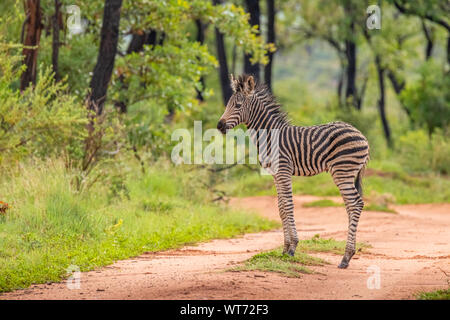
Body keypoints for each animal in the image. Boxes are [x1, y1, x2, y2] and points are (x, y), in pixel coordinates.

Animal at [218, 74, 370, 268]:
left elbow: (289, 206)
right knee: (351, 205)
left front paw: (292, 248)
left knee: (355, 203)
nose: (219, 126)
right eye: (227, 104)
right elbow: (281, 207)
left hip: (342, 171)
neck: (269, 136)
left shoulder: (283, 170)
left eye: (237, 105)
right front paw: (284, 249)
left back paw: (345, 257)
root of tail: (361, 134)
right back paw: (349, 255)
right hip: (348, 174)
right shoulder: (275, 174)